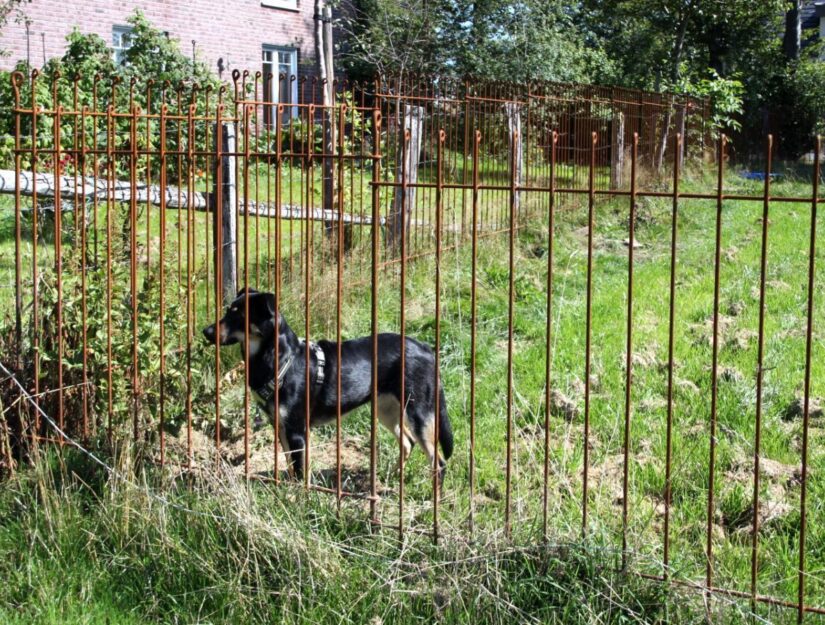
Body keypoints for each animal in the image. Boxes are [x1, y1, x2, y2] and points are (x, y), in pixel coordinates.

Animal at [203, 288, 454, 482]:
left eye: (239, 316)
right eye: (228, 311)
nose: (205, 332)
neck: (281, 359)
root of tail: (425, 348)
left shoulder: (297, 431)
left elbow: (300, 472)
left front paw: (297, 500)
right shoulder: (281, 427)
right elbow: (291, 466)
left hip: (419, 413)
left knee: (438, 461)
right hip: (387, 410)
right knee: (408, 443)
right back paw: (392, 477)